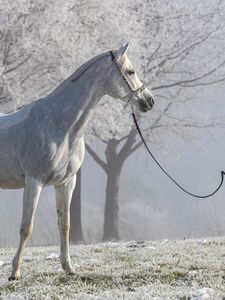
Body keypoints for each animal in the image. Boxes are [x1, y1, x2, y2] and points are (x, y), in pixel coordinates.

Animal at [0, 41, 154, 278]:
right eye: (131, 71)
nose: (149, 100)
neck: (58, 123)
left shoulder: (66, 183)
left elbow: (65, 225)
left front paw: (69, 267)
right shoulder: (34, 181)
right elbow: (26, 227)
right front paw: (15, 272)